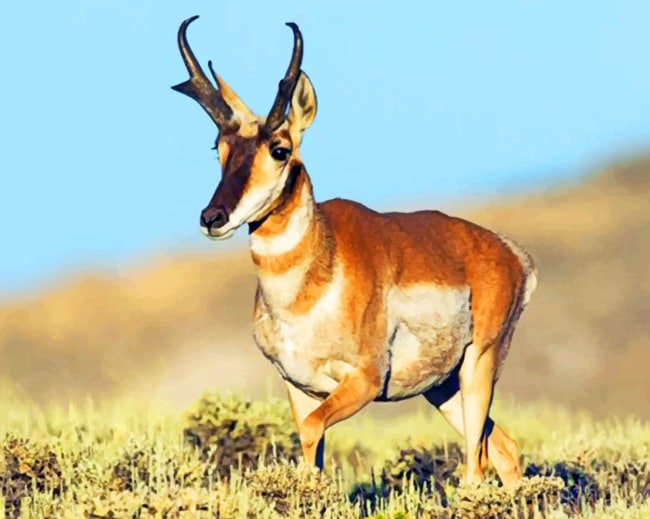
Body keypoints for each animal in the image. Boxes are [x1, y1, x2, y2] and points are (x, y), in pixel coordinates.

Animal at [171, 16, 537, 487]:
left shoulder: (363, 382)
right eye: (219, 148)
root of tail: (510, 252)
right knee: (506, 450)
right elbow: (309, 446)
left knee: (476, 464)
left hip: (479, 367)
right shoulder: (299, 387)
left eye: (279, 149)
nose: (212, 217)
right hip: (443, 388)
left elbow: (311, 432)